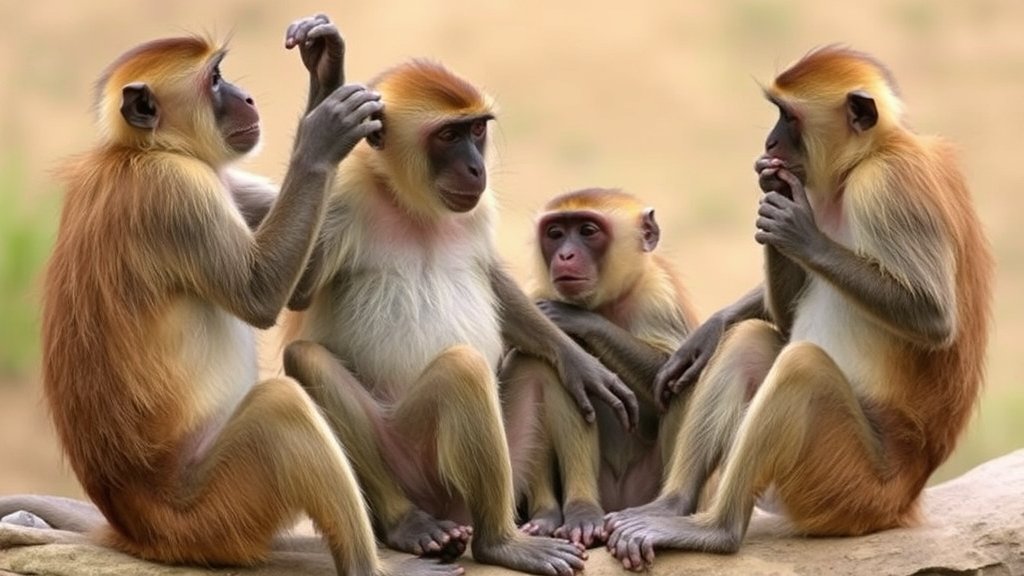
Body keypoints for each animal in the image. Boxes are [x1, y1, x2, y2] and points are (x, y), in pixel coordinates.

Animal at [9, 15, 462, 576]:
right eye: (214, 81)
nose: (243, 97)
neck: (143, 152)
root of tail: (137, 529)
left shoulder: (210, 181)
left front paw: (325, 64)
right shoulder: (179, 191)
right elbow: (260, 295)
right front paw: (321, 139)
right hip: (209, 514)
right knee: (280, 412)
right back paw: (370, 564)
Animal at [282, 59, 644, 576]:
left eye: (476, 130)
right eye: (449, 135)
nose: (476, 167)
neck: (412, 205)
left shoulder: (477, 207)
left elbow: (495, 284)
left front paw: (581, 362)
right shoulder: (342, 200)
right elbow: (295, 293)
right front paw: (326, 110)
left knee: (540, 366)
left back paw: (575, 513)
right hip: (404, 449)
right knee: (431, 367)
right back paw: (446, 533)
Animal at [502, 188, 700, 549]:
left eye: (587, 231)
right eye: (555, 233)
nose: (565, 255)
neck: (606, 302)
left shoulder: (658, 293)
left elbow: (670, 366)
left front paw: (577, 319)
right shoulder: (536, 292)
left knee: (683, 379)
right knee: (536, 362)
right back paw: (563, 515)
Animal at [604, 46, 993, 571]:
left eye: (788, 117)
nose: (769, 142)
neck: (867, 157)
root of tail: (906, 500)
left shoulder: (887, 186)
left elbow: (934, 320)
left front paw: (798, 231)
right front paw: (713, 326)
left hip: (852, 486)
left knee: (801, 368)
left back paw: (717, 531)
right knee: (752, 343)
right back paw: (672, 505)